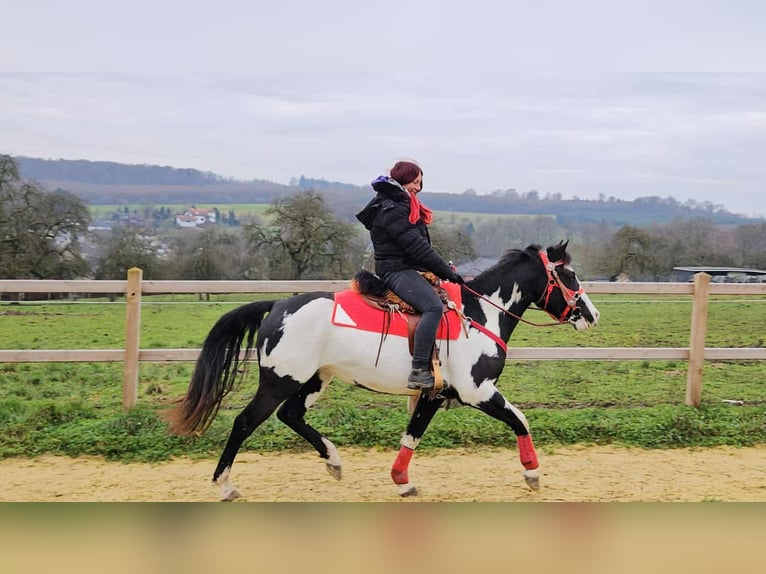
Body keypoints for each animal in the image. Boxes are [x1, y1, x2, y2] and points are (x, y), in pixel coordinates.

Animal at [164, 241, 600, 500]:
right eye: (569, 275)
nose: (592, 315)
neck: (479, 315)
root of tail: (277, 306)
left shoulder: (434, 394)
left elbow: (412, 436)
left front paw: (402, 481)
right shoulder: (477, 391)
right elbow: (521, 420)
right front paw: (533, 474)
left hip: (314, 379)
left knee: (291, 415)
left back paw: (334, 461)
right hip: (279, 381)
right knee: (244, 422)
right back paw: (224, 485)